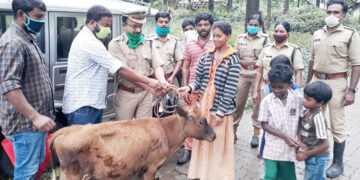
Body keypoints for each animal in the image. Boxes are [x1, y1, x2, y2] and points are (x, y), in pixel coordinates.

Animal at [48, 103, 215, 179]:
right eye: (202, 121)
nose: (214, 136)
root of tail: (68, 129)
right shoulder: (151, 168)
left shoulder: (141, 168)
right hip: (72, 175)